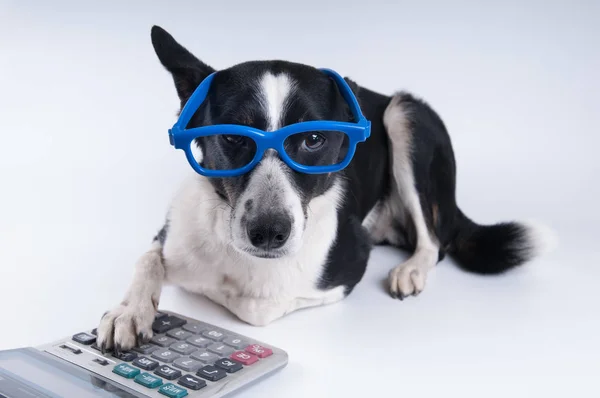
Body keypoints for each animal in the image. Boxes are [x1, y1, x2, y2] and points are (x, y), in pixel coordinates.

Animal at [96, 26, 552, 352]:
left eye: (314, 139)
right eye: (232, 137)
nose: (268, 233)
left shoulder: (341, 266)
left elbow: (253, 305)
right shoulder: (171, 230)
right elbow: (148, 259)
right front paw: (129, 311)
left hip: (407, 116)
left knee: (434, 240)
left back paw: (411, 269)